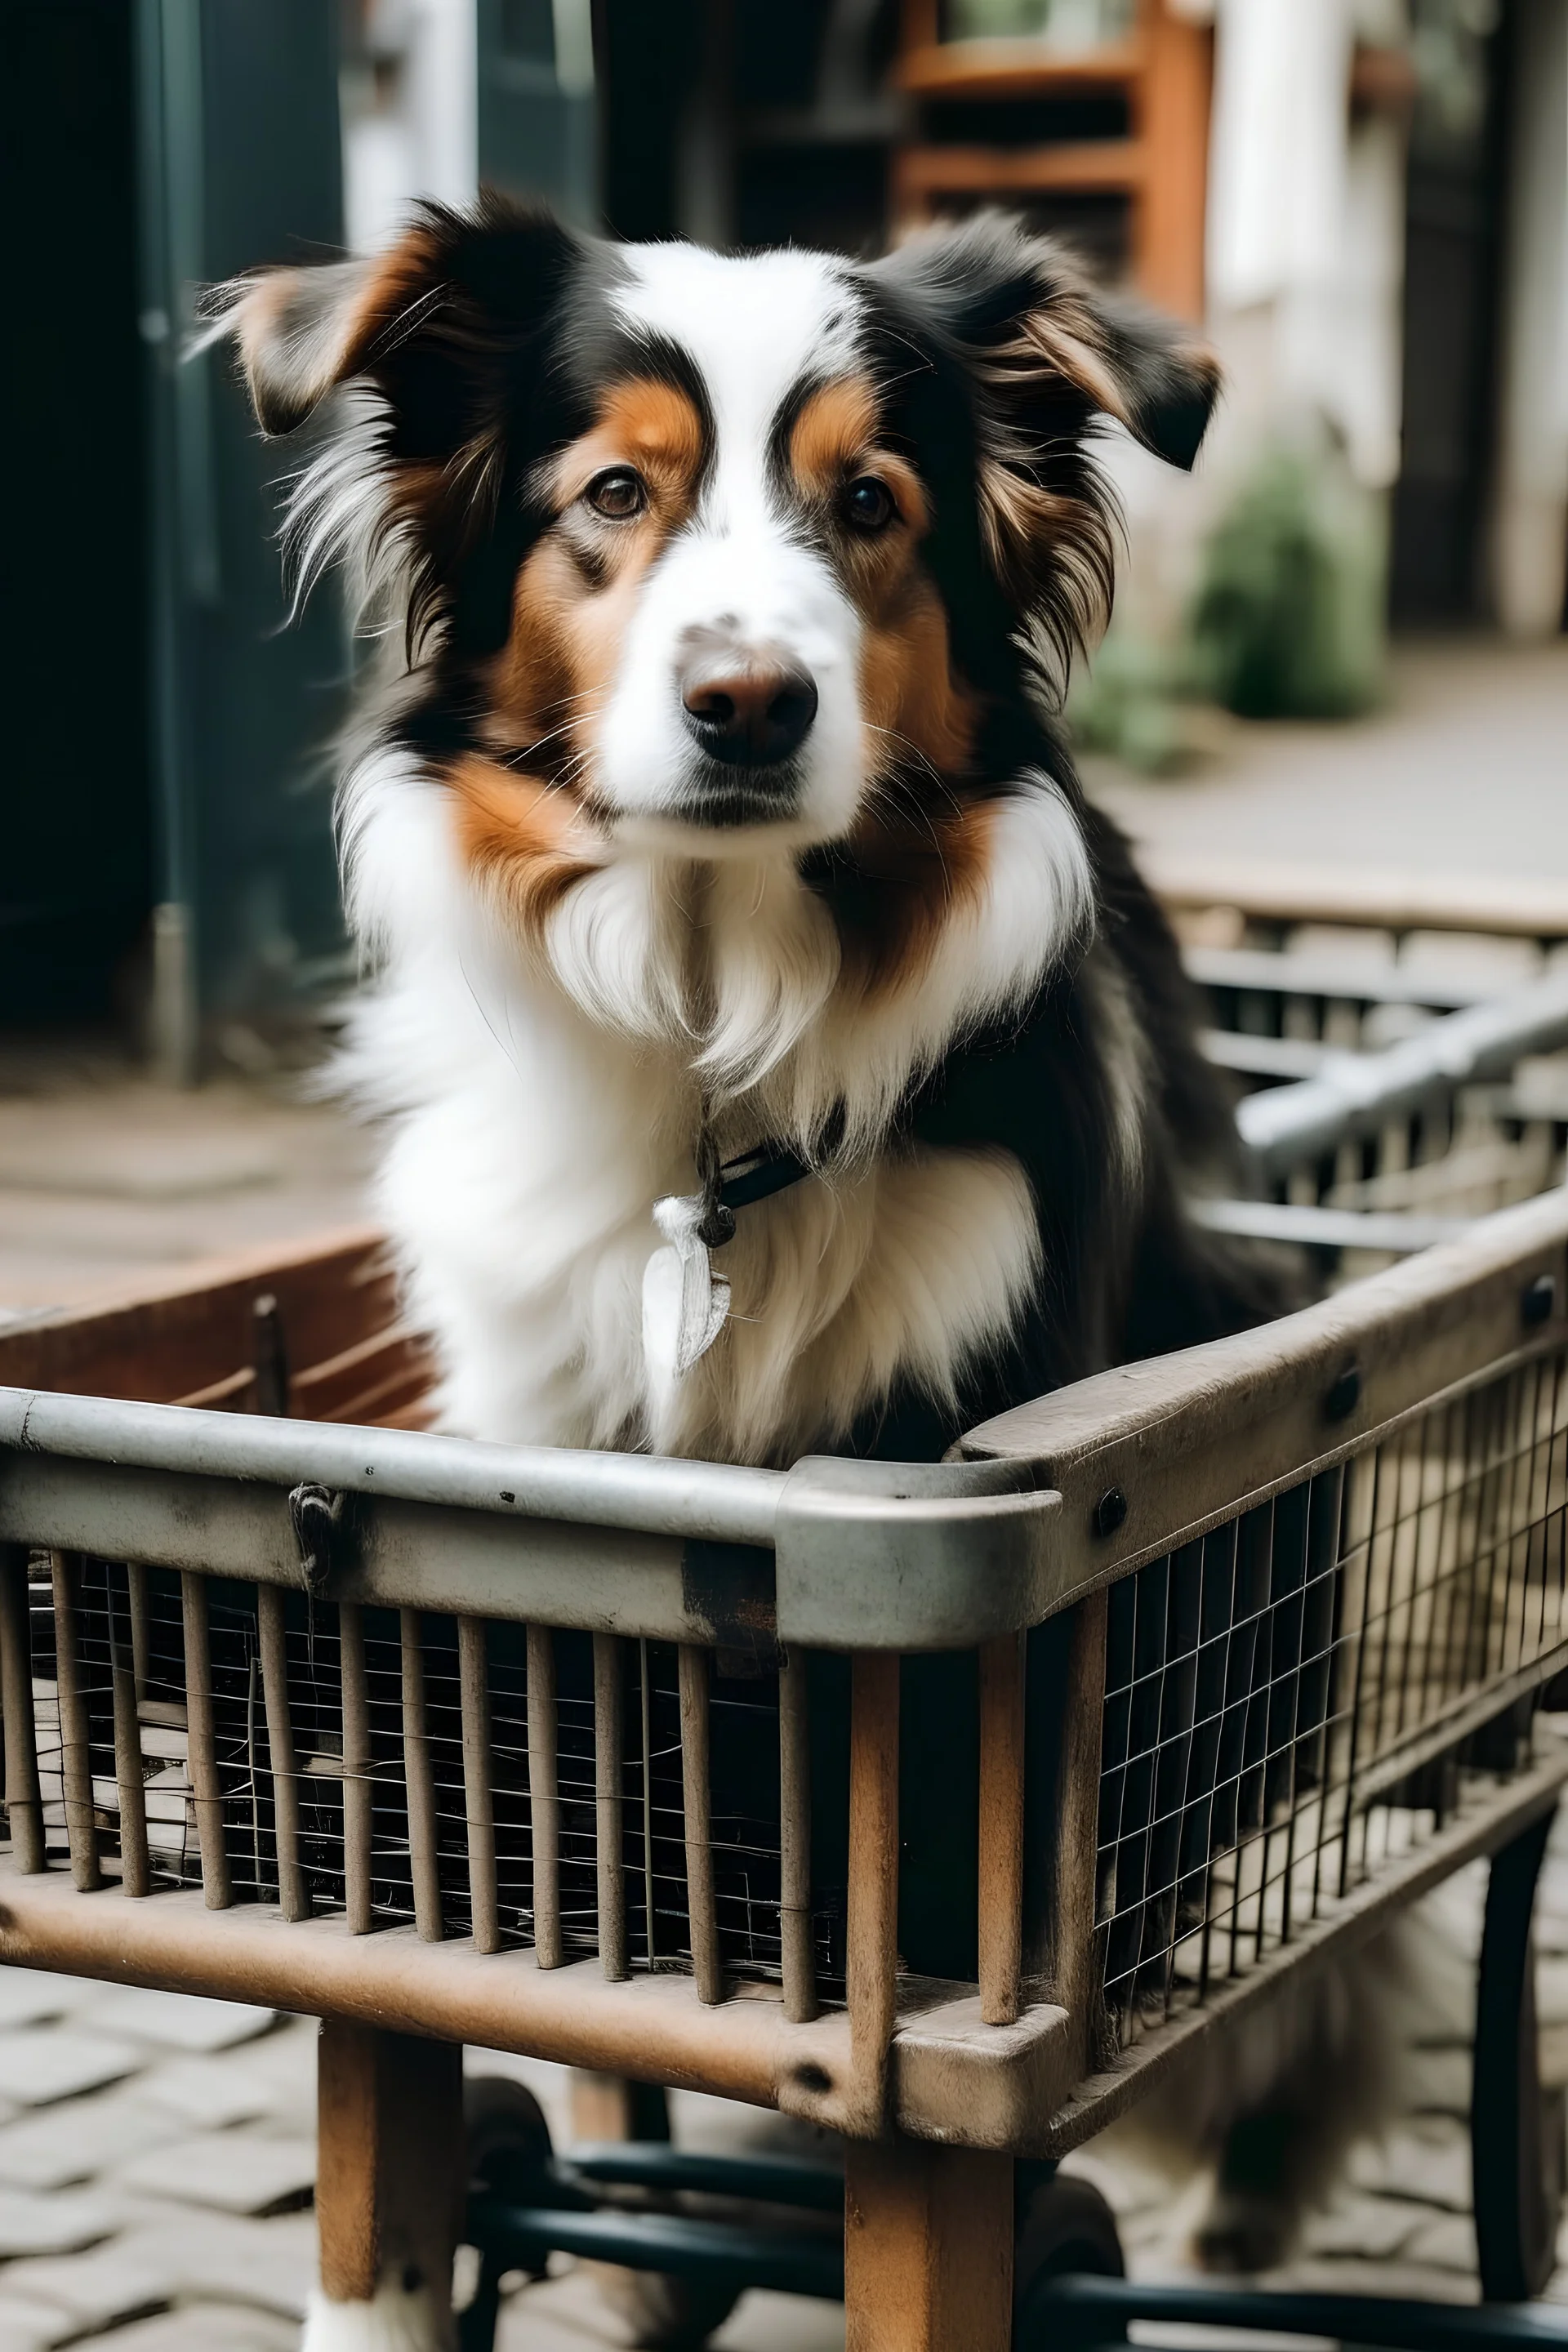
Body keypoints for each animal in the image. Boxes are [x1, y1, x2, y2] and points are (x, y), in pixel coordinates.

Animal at [215, 202, 1354, 2332]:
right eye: (613, 494)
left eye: (873, 503)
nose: (751, 699)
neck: (714, 1041)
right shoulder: (540, 1508)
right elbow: (585, 1933)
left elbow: (942, 2005)